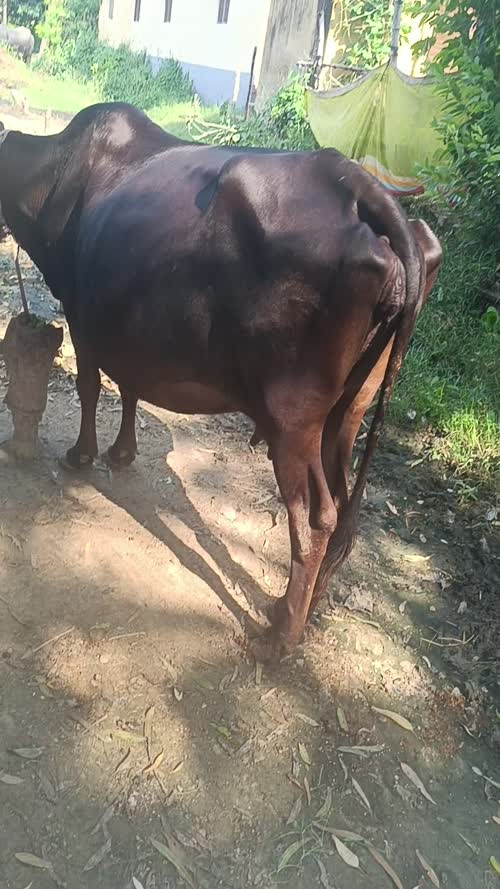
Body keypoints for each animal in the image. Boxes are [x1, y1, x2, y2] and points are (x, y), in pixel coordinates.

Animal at [0, 103, 442, 660]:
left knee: (317, 517)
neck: (56, 171)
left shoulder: (83, 318)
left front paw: (82, 455)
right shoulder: (129, 329)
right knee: (343, 506)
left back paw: (282, 635)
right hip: (349, 412)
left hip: (294, 420)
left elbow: (90, 386)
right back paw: (297, 608)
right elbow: (130, 387)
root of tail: (361, 187)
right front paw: (121, 452)